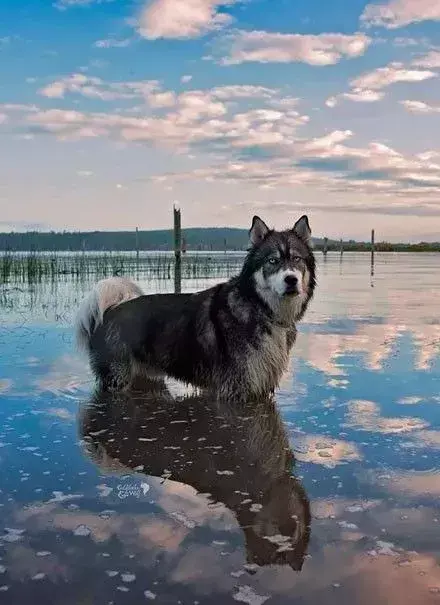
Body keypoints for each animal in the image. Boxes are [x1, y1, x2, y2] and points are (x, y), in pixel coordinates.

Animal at [76, 215, 316, 398]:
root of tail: (110, 310)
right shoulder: (236, 389)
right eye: (272, 261)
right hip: (117, 380)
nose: (291, 280)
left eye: (297, 259)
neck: (258, 307)